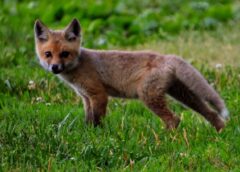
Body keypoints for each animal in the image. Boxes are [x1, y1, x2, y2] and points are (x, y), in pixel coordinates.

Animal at [34, 18, 229, 132]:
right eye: (48, 54)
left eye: (64, 54)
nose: (55, 67)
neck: (79, 65)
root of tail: (166, 56)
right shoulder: (86, 97)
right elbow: (88, 119)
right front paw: (87, 133)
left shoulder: (99, 94)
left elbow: (97, 120)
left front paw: (97, 136)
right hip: (182, 94)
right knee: (210, 112)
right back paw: (220, 132)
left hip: (148, 96)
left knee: (175, 119)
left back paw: (166, 139)